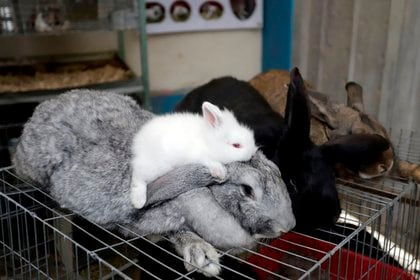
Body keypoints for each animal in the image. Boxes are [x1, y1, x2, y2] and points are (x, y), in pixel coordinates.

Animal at [130, 100, 258, 208]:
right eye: (236, 145)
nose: (252, 154)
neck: (209, 142)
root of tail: (138, 142)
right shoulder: (197, 155)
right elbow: (209, 161)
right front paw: (220, 173)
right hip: (155, 167)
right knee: (138, 177)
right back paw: (138, 202)